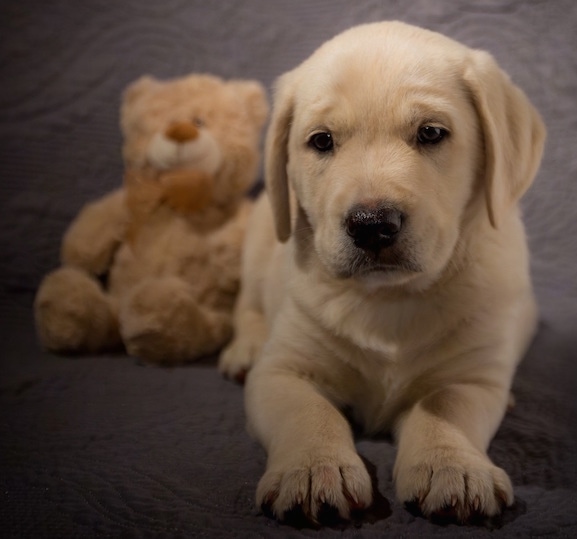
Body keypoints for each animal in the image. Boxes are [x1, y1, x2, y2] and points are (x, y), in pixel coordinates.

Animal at [218, 21, 544, 524]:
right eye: (321, 141)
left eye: (431, 132)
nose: (372, 225)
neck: (388, 298)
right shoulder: (283, 371)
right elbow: (308, 412)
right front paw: (312, 468)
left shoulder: (471, 377)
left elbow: (443, 406)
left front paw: (453, 466)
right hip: (259, 236)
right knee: (247, 305)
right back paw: (245, 347)